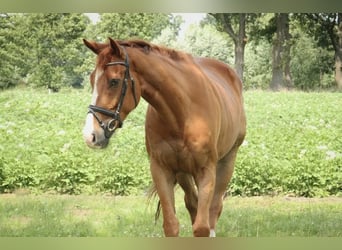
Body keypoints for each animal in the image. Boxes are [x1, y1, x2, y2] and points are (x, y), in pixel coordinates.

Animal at [82, 37, 246, 236]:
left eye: (114, 81)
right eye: (92, 79)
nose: (90, 135)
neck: (182, 113)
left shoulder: (206, 170)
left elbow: (202, 227)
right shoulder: (161, 169)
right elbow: (171, 224)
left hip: (227, 162)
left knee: (214, 209)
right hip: (183, 173)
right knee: (193, 203)